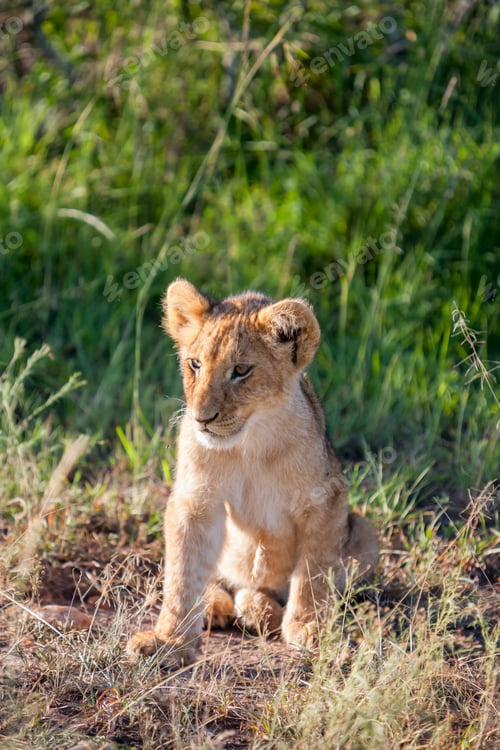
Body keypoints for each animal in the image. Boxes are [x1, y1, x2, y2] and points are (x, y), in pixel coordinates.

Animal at [127, 279, 379, 663]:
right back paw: (219, 606)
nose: (201, 418)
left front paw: (309, 628)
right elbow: (183, 575)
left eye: (242, 371)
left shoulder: (327, 499)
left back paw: (263, 611)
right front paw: (169, 641)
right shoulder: (194, 502)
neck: (249, 445)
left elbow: (314, 570)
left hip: (365, 533)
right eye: (195, 364)